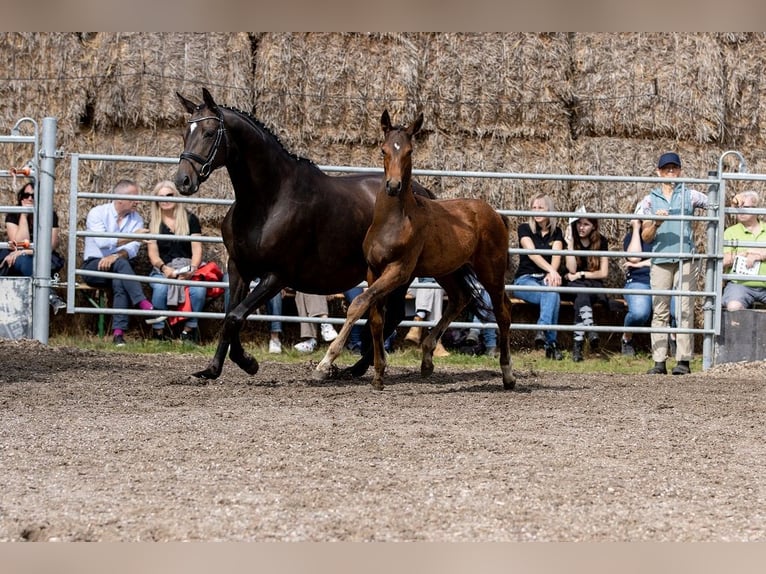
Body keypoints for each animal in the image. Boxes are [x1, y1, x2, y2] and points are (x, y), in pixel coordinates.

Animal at [176, 88, 438, 380]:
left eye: (210, 133)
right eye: (186, 133)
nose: (183, 180)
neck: (268, 200)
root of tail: (421, 193)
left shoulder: (276, 276)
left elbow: (235, 317)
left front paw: (248, 362)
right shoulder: (239, 268)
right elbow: (230, 317)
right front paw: (212, 369)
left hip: (400, 273)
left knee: (392, 315)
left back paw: (354, 367)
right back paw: (356, 366)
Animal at [318, 111, 516, 392]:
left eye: (409, 151)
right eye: (383, 149)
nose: (393, 186)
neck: (394, 220)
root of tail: (496, 214)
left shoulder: (399, 271)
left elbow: (358, 304)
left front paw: (325, 363)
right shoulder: (373, 270)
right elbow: (376, 318)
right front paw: (378, 375)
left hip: (491, 270)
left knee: (503, 311)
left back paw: (508, 375)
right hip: (447, 270)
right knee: (461, 297)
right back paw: (427, 358)